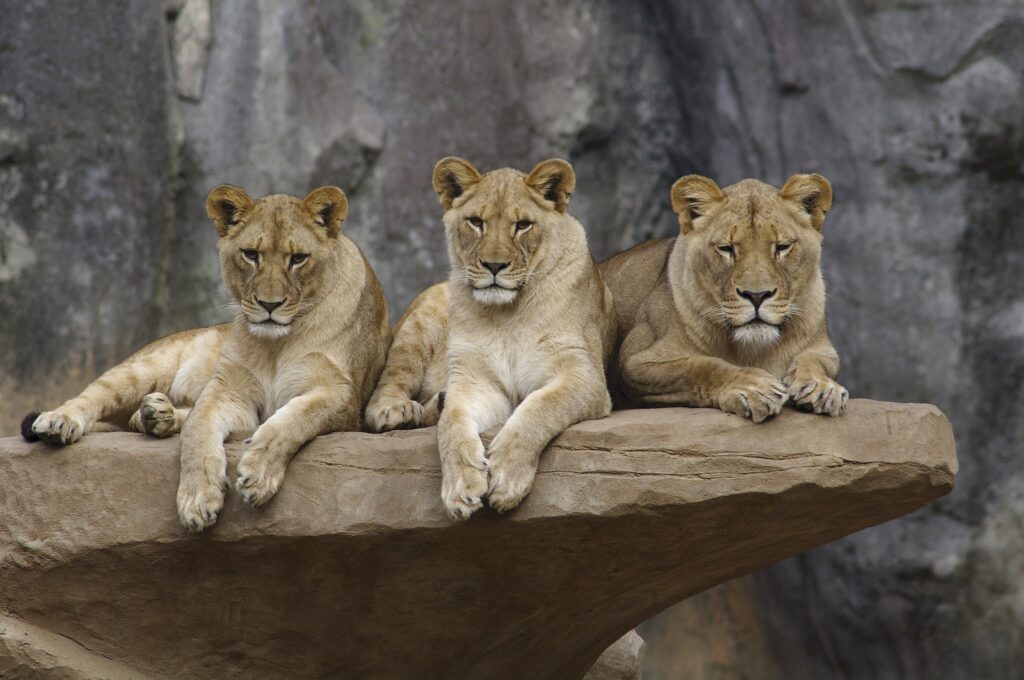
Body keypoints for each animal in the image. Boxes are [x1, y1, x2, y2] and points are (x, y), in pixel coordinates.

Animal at [24, 184, 390, 532]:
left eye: (298, 258)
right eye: (251, 254)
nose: (269, 305)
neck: (277, 344)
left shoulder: (341, 395)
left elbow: (293, 419)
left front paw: (258, 474)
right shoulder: (229, 390)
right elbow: (198, 431)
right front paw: (198, 499)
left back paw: (155, 415)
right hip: (146, 366)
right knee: (95, 395)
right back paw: (61, 421)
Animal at [365, 157, 616, 520]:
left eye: (523, 225)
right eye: (476, 222)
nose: (494, 266)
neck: (506, 316)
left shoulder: (584, 375)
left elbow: (539, 408)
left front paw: (506, 476)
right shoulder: (475, 381)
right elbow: (452, 427)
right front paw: (460, 486)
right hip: (423, 316)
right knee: (381, 395)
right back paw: (398, 410)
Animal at [599, 173, 847, 422]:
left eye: (782, 247)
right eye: (726, 248)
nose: (756, 295)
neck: (754, 350)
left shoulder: (824, 349)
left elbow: (815, 360)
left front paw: (821, 387)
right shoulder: (634, 361)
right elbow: (698, 367)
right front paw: (753, 388)